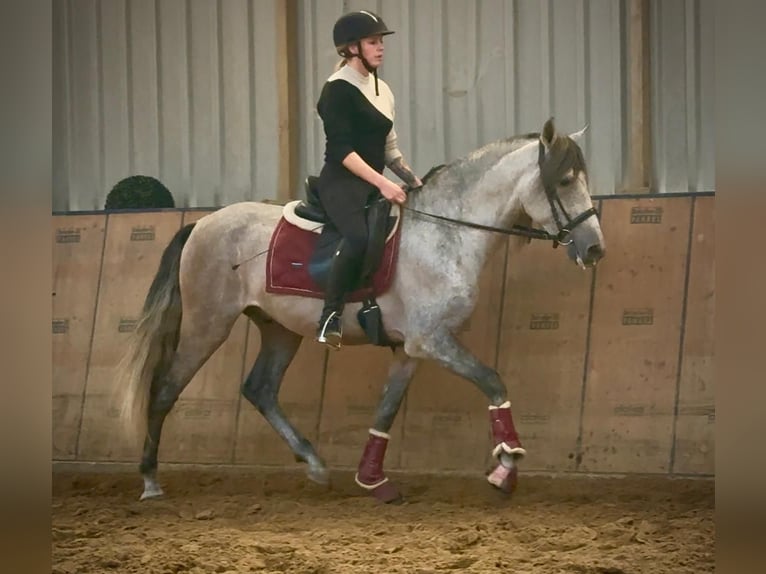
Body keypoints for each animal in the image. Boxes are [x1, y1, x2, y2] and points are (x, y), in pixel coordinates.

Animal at [114, 118, 606, 503]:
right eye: (565, 182)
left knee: (260, 389)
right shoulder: (433, 340)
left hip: (279, 329)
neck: (444, 233)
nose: (594, 249)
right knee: (165, 390)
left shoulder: (410, 350)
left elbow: (385, 412)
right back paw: (151, 481)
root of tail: (202, 223)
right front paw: (506, 465)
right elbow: (492, 381)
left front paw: (372, 480)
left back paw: (314, 464)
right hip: (207, 325)